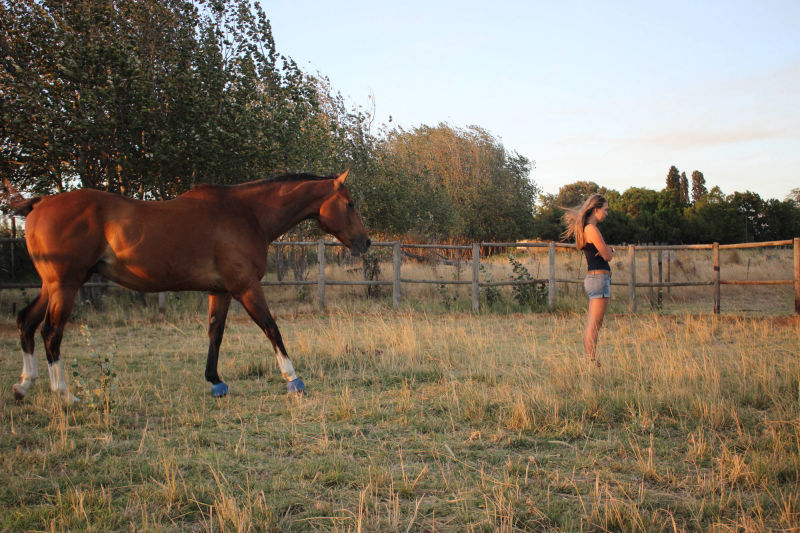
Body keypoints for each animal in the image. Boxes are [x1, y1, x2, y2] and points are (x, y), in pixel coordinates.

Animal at [5, 171, 370, 402]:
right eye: (350, 203)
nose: (365, 242)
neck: (247, 213)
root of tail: (39, 205)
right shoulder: (245, 286)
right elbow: (271, 328)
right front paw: (293, 378)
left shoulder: (220, 290)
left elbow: (215, 334)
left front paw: (216, 382)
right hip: (65, 285)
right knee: (50, 333)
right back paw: (66, 396)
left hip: (53, 285)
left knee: (26, 322)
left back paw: (24, 386)